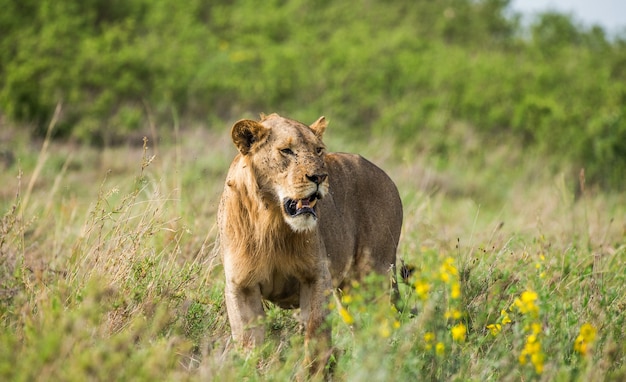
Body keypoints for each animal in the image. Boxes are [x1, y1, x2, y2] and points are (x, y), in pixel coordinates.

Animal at [217, 112, 402, 374]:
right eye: (286, 151)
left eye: (318, 150)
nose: (319, 177)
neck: (272, 223)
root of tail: (384, 175)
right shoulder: (241, 286)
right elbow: (250, 344)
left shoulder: (316, 277)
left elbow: (316, 337)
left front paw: (311, 374)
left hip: (373, 277)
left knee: (380, 327)